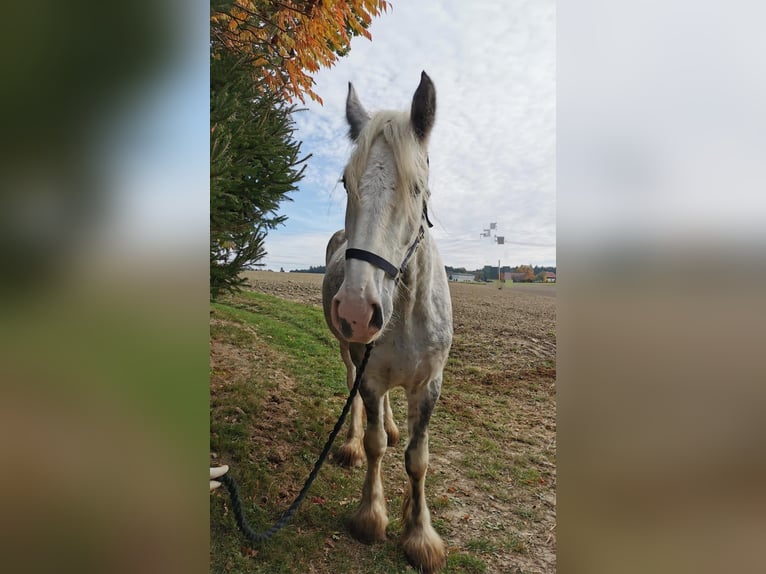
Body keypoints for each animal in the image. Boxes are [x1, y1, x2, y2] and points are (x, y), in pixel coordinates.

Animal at [322, 71, 453, 573]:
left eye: (418, 188)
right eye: (345, 182)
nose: (358, 312)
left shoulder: (429, 384)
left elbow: (418, 459)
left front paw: (419, 535)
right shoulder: (372, 376)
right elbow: (377, 444)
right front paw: (370, 517)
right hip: (349, 353)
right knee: (351, 389)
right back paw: (352, 443)